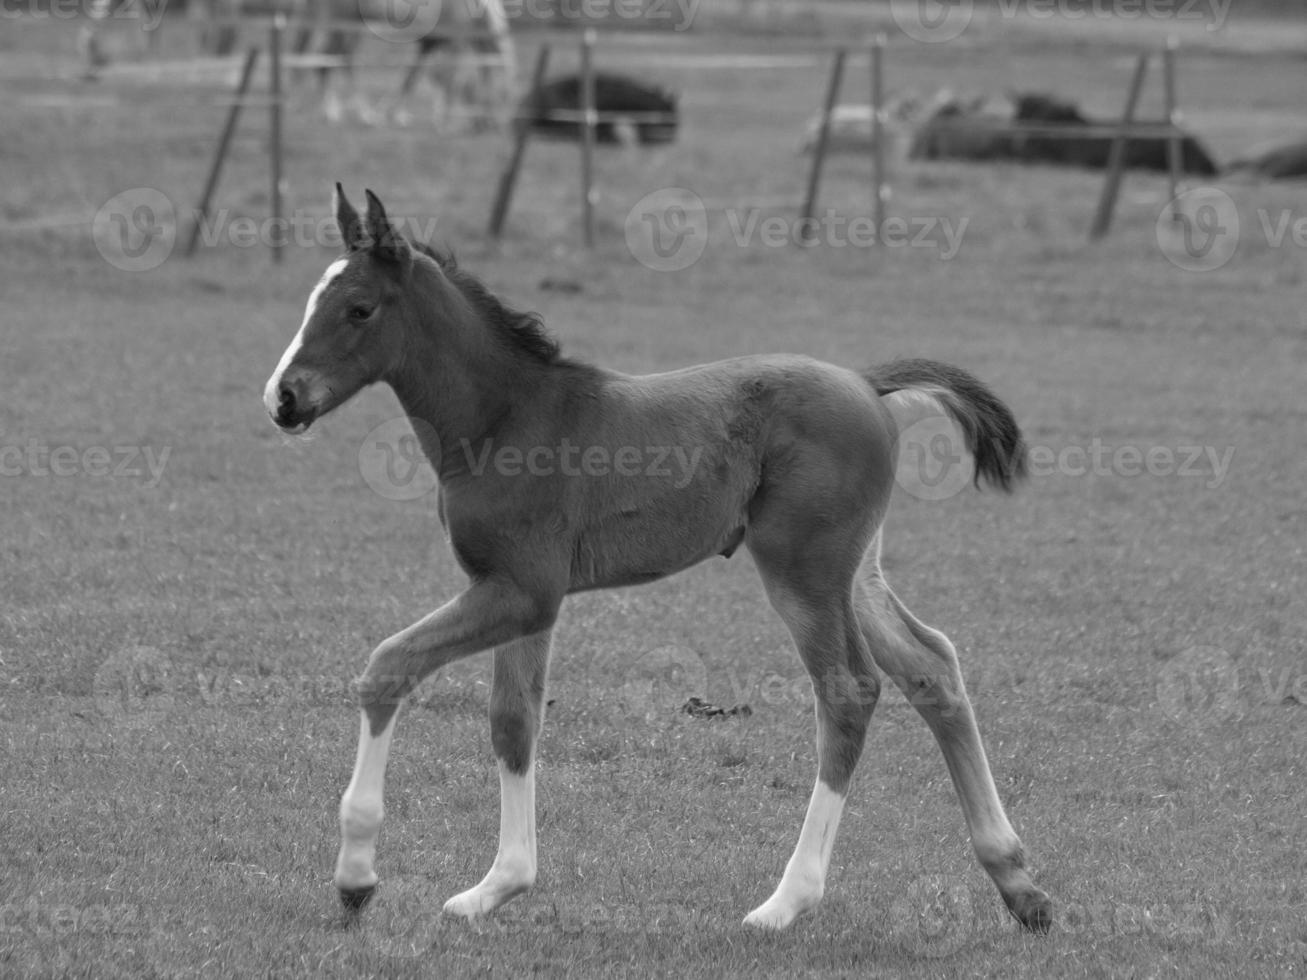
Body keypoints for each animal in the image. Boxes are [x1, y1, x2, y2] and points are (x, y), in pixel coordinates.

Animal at [262, 189, 1050, 935]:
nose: (283, 398)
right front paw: (498, 887)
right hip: (854, 574)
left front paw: (356, 880)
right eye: (309, 304)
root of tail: (866, 383)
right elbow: (513, 722)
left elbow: (387, 667)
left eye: (358, 308)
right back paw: (1018, 884)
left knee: (849, 691)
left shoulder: (521, 591)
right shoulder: (518, 597)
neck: (504, 420)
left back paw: (785, 903)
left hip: (803, 571)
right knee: (931, 666)